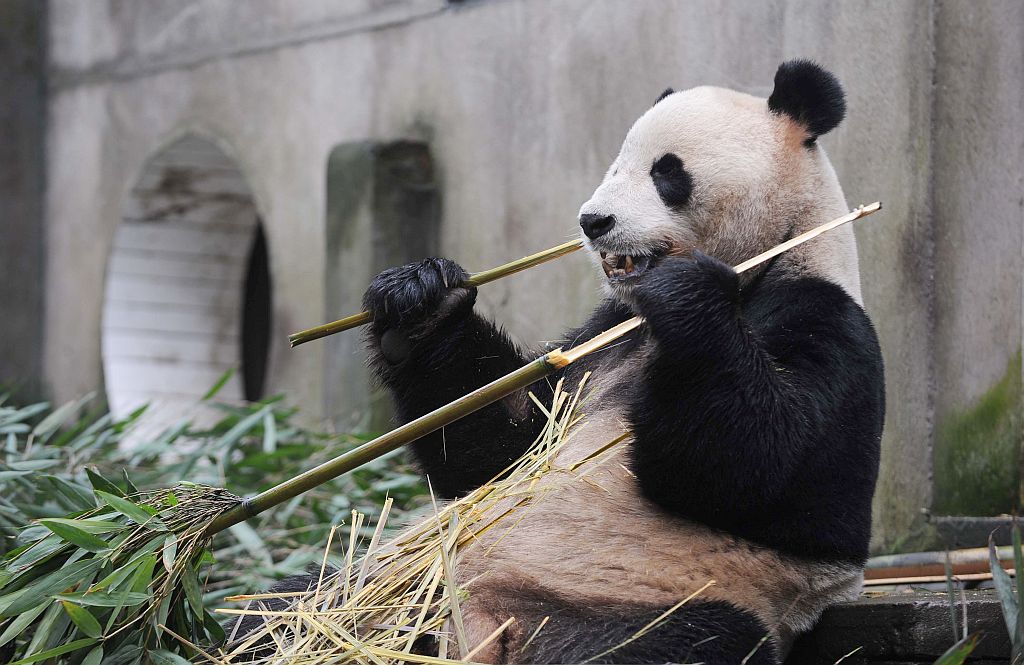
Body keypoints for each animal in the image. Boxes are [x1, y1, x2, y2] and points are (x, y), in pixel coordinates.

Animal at [253, 60, 885, 664]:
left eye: (667, 172)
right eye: (615, 166)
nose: (593, 221)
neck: (772, 256)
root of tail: (477, 631)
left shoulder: (826, 320)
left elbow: (773, 470)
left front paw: (686, 293)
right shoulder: (602, 336)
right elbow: (500, 447)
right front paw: (421, 300)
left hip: (643, 601)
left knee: (667, 648)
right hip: (385, 584)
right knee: (282, 607)